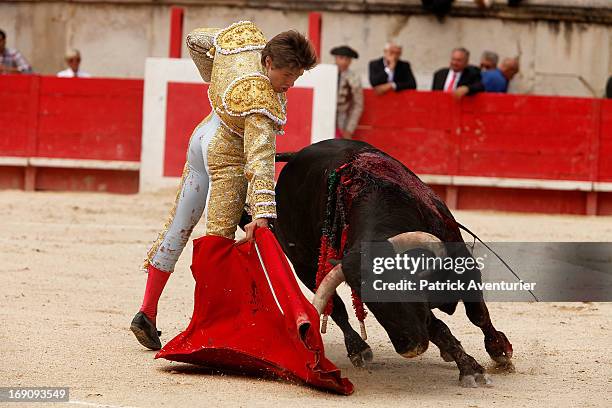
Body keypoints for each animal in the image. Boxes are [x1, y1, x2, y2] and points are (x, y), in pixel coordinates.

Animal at [241, 139, 512, 386]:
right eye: (368, 302)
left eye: (406, 287)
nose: (410, 347)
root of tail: (296, 155)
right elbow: (438, 328)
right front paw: (470, 368)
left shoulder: (463, 266)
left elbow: (477, 314)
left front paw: (499, 351)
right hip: (305, 267)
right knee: (338, 309)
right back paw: (358, 349)